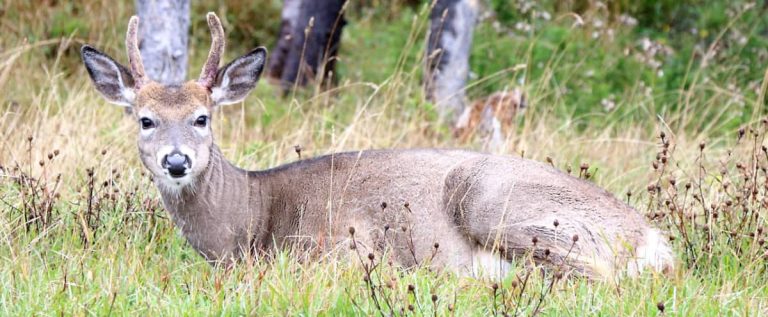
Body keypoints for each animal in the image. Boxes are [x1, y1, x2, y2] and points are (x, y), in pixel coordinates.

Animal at [81, 12, 676, 278]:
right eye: (145, 120)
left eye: (203, 117)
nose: (177, 162)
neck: (250, 220)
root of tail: (652, 237)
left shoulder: (341, 244)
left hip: (494, 201)